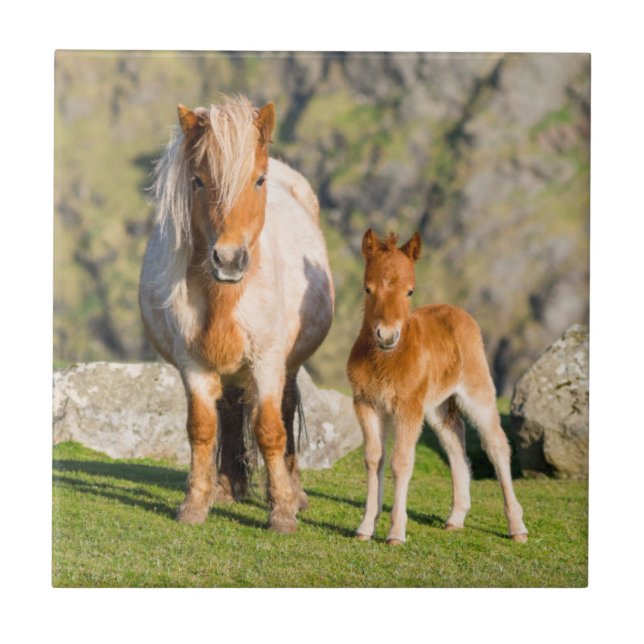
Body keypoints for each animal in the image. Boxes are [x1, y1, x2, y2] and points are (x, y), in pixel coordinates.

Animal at [139, 95, 334, 533]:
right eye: (197, 181)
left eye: (258, 181)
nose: (228, 260)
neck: (225, 295)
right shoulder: (192, 363)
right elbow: (201, 428)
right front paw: (195, 504)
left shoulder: (267, 361)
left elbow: (270, 430)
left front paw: (281, 512)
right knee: (228, 411)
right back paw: (229, 487)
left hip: (287, 365)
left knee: (285, 410)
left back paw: (294, 493)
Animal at [346, 229, 528, 545]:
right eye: (367, 289)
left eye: (410, 291)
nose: (387, 336)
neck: (387, 360)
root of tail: (458, 311)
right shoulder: (366, 404)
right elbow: (373, 459)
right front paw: (365, 527)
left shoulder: (408, 408)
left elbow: (401, 462)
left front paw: (396, 533)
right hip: (437, 406)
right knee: (455, 443)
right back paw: (456, 518)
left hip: (477, 392)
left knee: (496, 445)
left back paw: (517, 527)